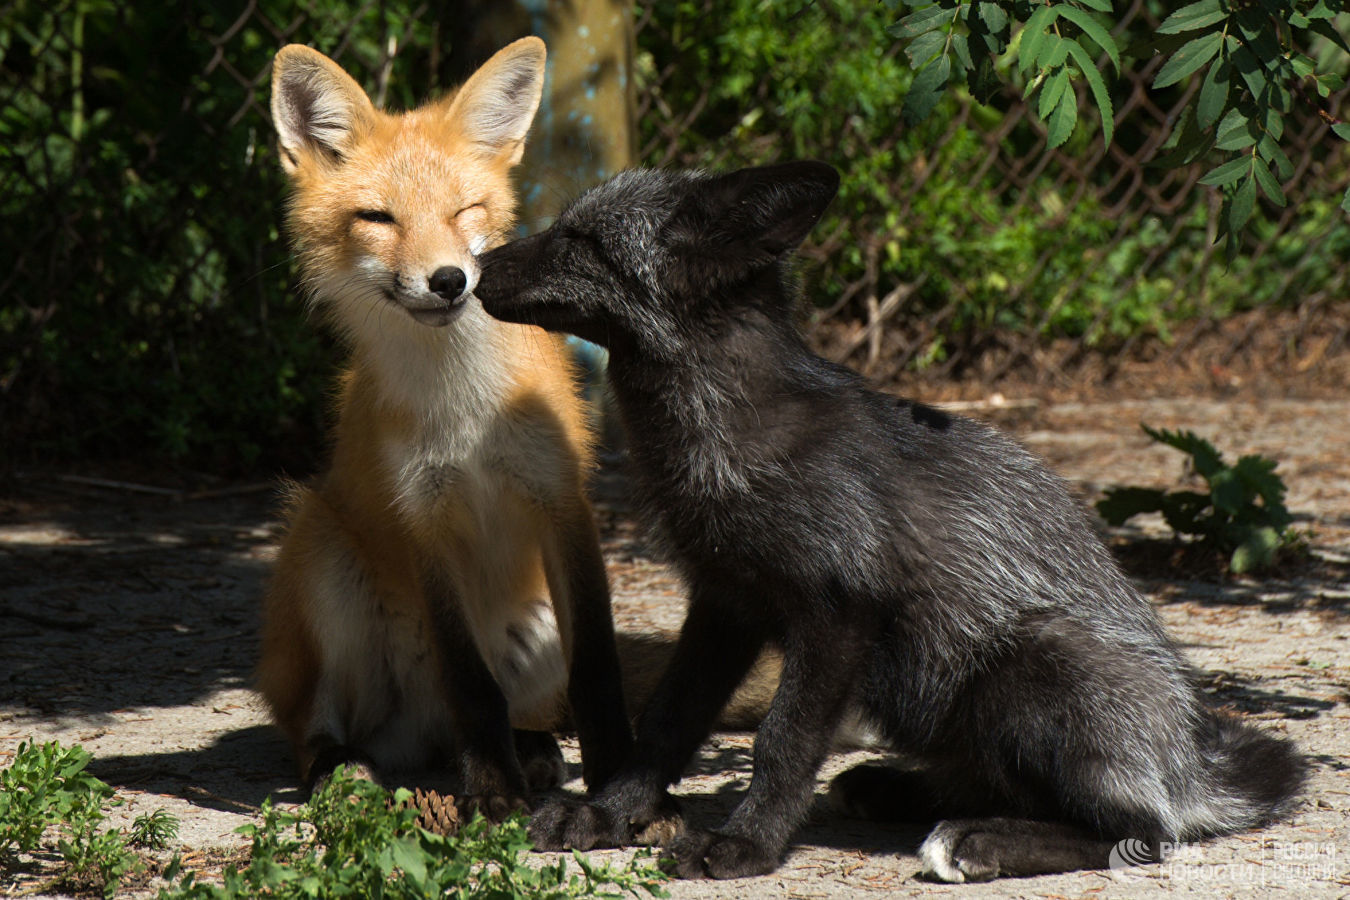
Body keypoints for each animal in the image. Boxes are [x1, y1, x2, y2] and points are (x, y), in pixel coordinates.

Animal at [260, 38, 634, 820]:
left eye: (466, 211)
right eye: (378, 218)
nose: (448, 281)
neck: (465, 412)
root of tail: (423, 736)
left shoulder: (562, 500)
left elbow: (597, 669)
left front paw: (620, 779)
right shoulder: (423, 516)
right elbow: (472, 683)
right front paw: (492, 791)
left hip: (536, 625)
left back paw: (530, 750)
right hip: (320, 547)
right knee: (318, 728)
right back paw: (345, 770)